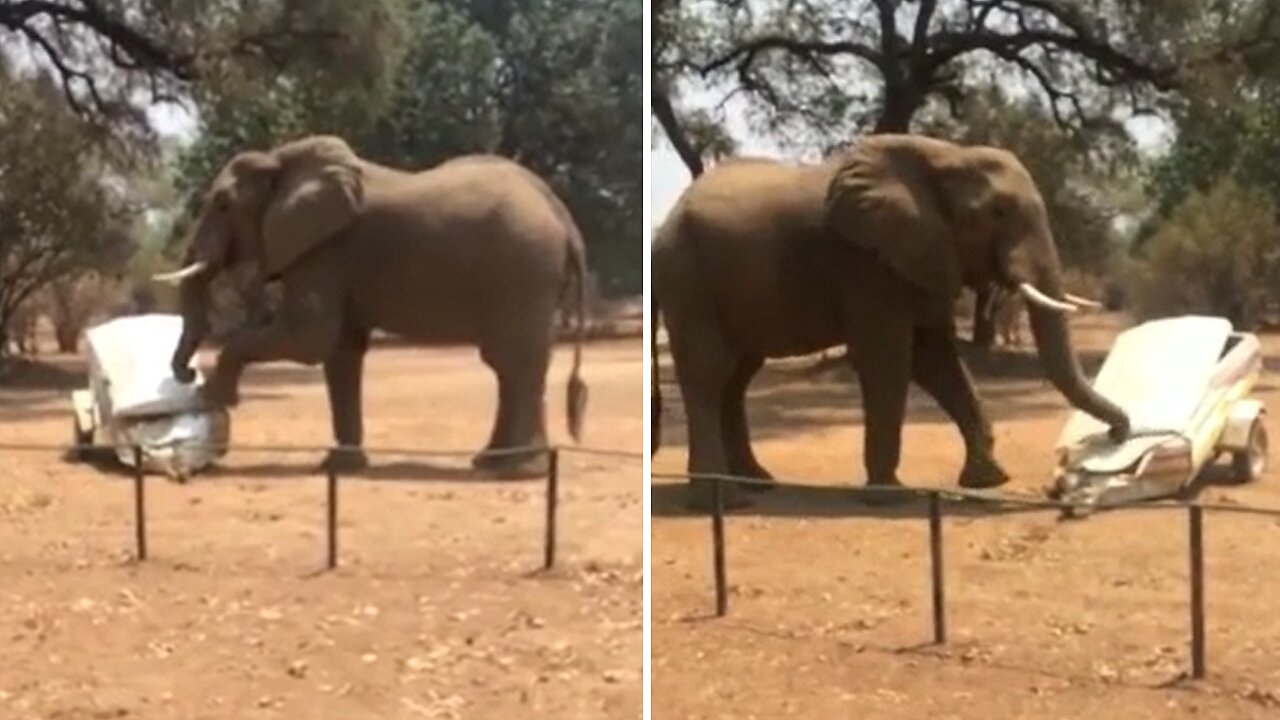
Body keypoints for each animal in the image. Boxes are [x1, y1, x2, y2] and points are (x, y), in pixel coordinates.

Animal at [156, 134, 588, 471]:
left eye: (223, 204)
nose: (187, 375)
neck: (281, 158)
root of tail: (564, 217)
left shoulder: (326, 249)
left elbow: (311, 338)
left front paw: (212, 398)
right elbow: (340, 352)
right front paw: (339, 467)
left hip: (523, 268)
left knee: (513, 361)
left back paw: (517, 470)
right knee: (511, 366)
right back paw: (495, 463)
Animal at [655, 133, 1126, 504]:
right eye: (998, 213)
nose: (1115, 435)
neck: (947, 155)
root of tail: (667, 219)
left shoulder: (921, 255)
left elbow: (935, 360)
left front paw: (987, 481)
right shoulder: (865, 263)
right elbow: (889, 359)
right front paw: (891, 496)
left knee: (736, 379)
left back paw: (754, 484)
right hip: (688, 277)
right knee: (708, 373)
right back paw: (721, 500)